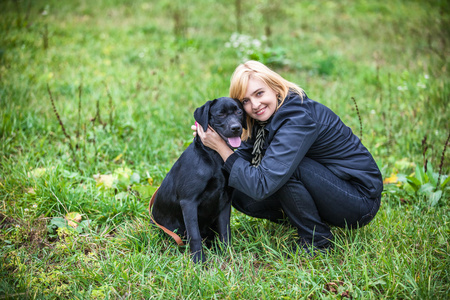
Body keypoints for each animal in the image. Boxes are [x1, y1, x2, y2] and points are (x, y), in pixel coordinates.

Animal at [151, 96, 246, 262]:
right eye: (221, 114)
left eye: (239, 112)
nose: (236, 128)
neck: (215, 159)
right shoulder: (188, 202)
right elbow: (194, 235)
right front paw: (199, 261)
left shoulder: (225, 201)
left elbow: (225, 231)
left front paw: (227, 254)